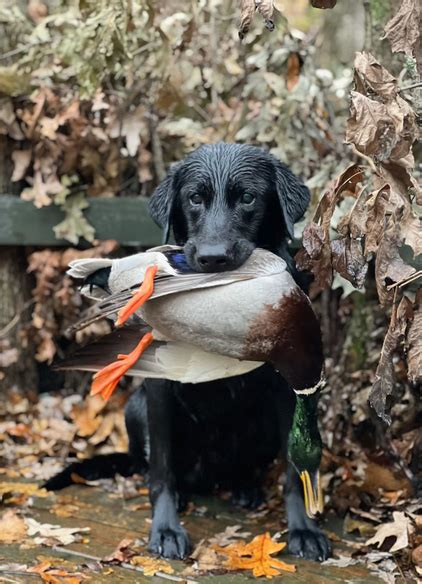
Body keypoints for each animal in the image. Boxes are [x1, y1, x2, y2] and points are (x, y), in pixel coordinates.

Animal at [45, 141, 330, 560]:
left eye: (248, 197)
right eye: (194, 198)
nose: (213, 259)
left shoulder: (285, 390)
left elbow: (293, 470)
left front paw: (304, 529)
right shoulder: (160, 388)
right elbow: (162, 468)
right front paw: (165, 529)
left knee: (239, 469)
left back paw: (245, 489)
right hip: (137, 409)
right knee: (154, 466)